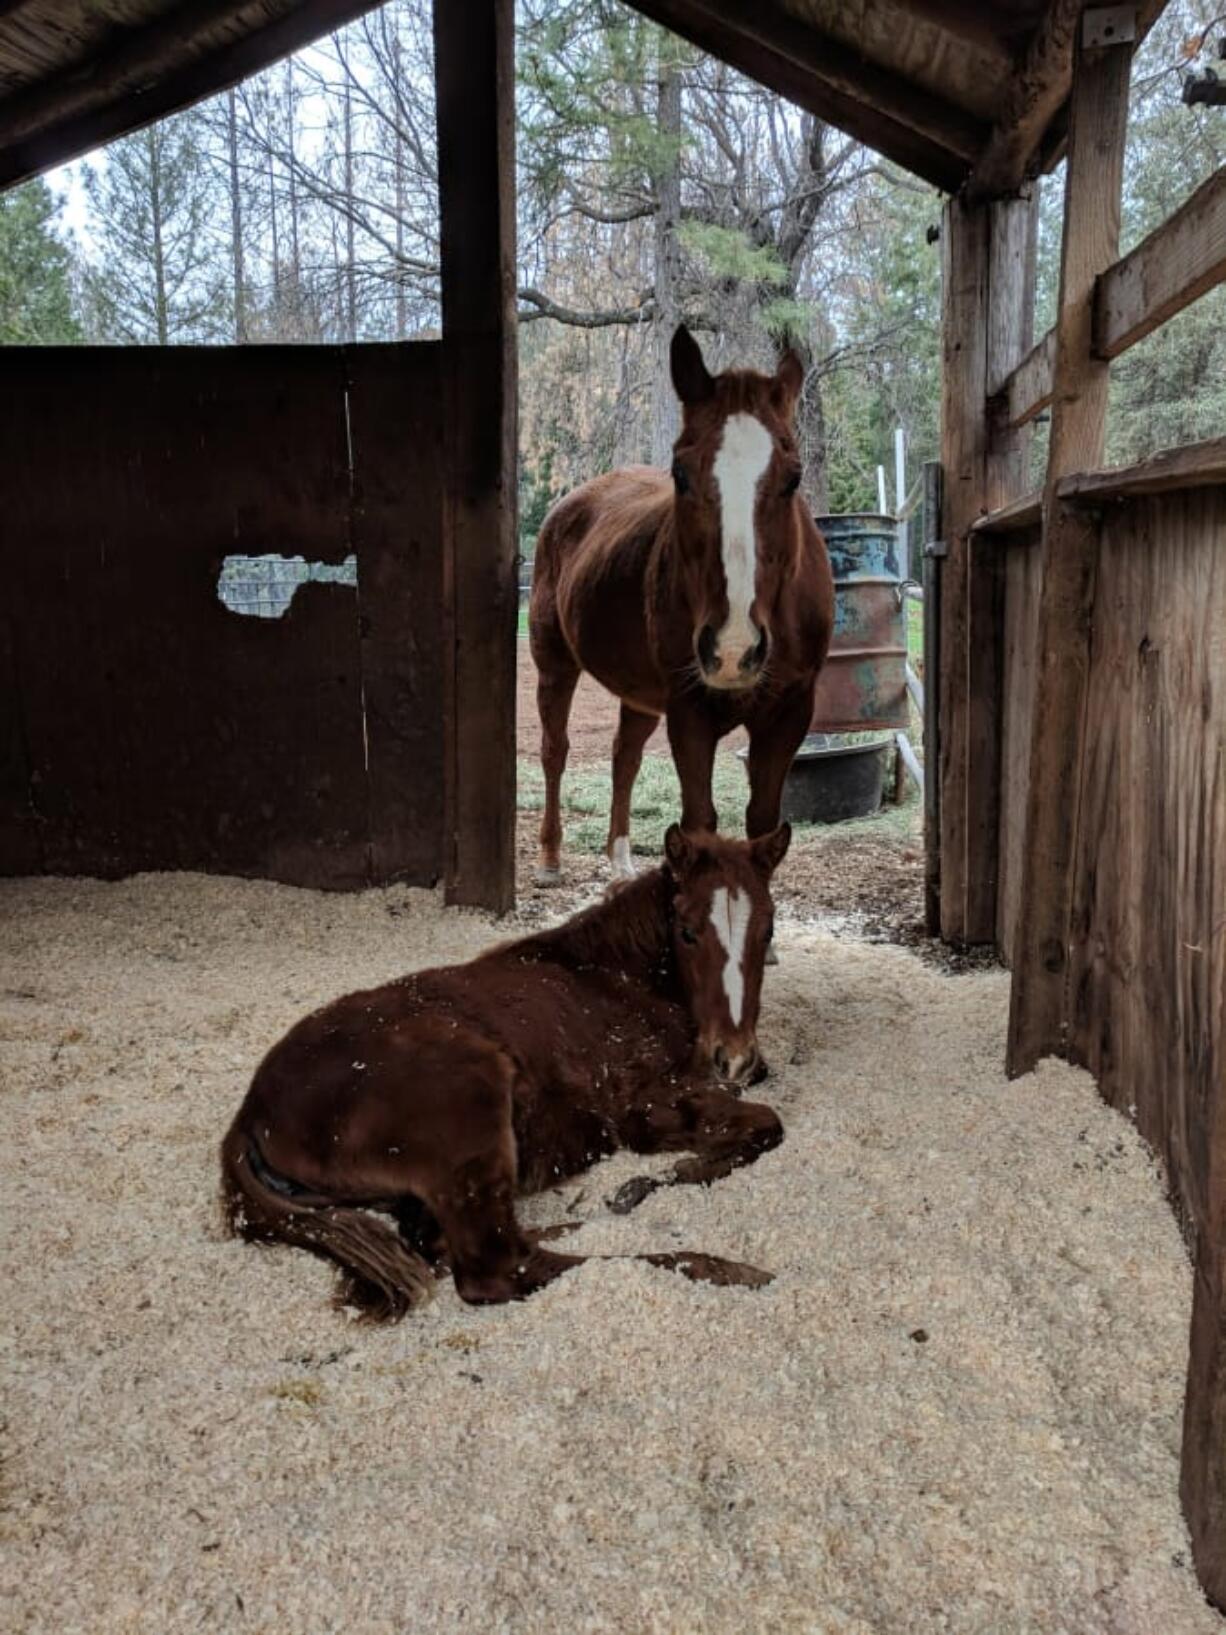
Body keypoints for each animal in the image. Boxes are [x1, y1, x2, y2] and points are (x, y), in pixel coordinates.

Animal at [223, 824, 791, 1321]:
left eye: (768, 931)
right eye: (688, 931)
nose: (733, 1057)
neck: (614, 975)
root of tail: (250, 1116)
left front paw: (645, 1185)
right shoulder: (643, 1107)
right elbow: (767, 1123)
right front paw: (658, 1180)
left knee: (437, 1243)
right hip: (472, 1101)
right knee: (497, 1270)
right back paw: (722, 1267)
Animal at [532, 322, 843, 882]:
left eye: (793, 477)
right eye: (679, 472)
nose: (734, 649)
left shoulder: (790, 712)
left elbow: (762, 822)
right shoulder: (688, 710)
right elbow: (700, 820)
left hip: (638, 693)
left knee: (625, 755)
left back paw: (620, 858)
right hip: (554, 665)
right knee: (555, 751)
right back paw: (550, 857)